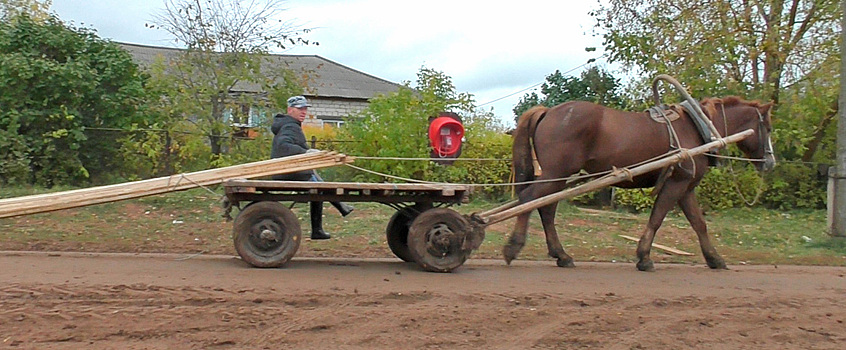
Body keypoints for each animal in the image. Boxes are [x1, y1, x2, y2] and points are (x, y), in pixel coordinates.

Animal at [506, 97, 780, 272]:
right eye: (767, 127)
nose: (770, 163)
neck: (698, 127)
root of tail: (548, 111)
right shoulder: (677, 183)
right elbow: (657, 218)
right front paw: (644, 257)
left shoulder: (686, 188)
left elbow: (699, 223)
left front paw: (714, 259)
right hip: (557, 172)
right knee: (529, 200)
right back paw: (514, 246)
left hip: (558, 176)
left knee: (545, 208)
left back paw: (561, 255)